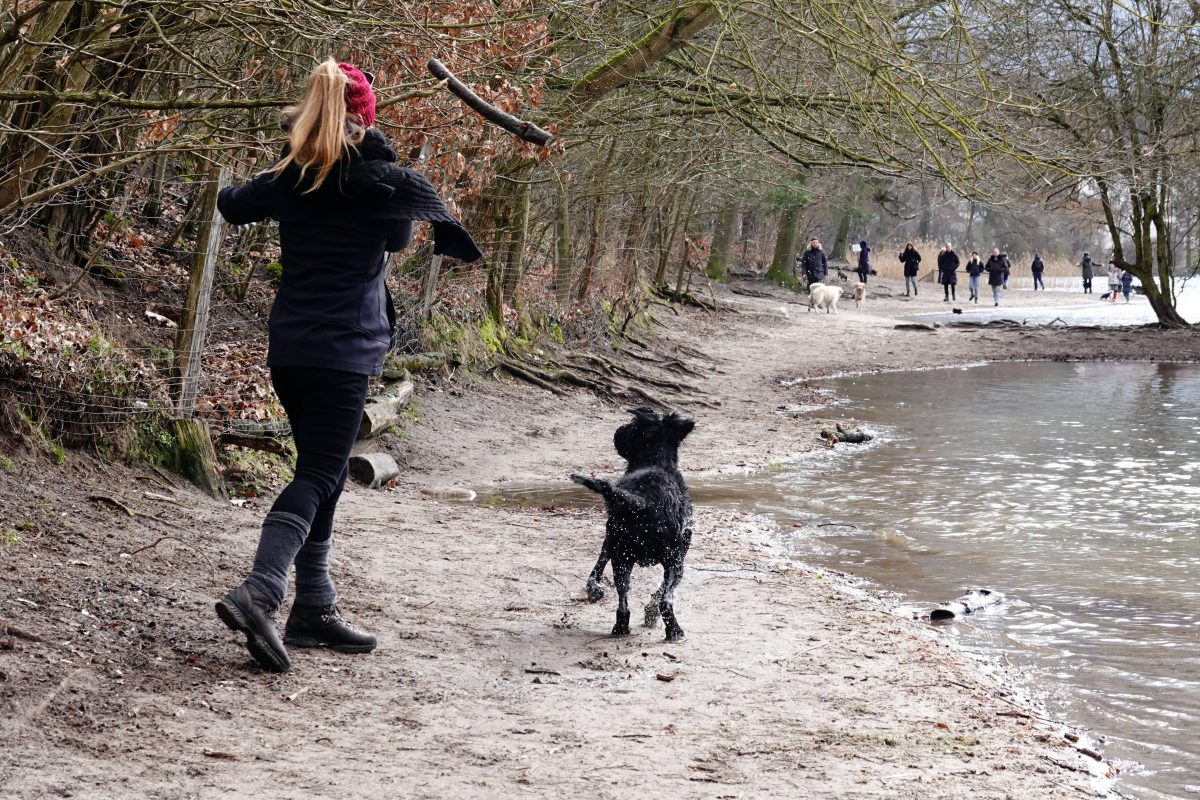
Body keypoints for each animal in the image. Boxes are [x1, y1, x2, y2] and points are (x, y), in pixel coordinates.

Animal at [571, 410, 696, 642]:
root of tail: (643, 501)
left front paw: (595, 588)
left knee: (623, 598)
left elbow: (598, 567)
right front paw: (651, 612)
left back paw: (621, 627)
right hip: (675, 563)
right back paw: (674, 631)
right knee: (666, 601)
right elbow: (660, 592)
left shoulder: (609, 541)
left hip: (622, 556)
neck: (654, 461)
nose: (617, 431)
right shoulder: (679, 557)